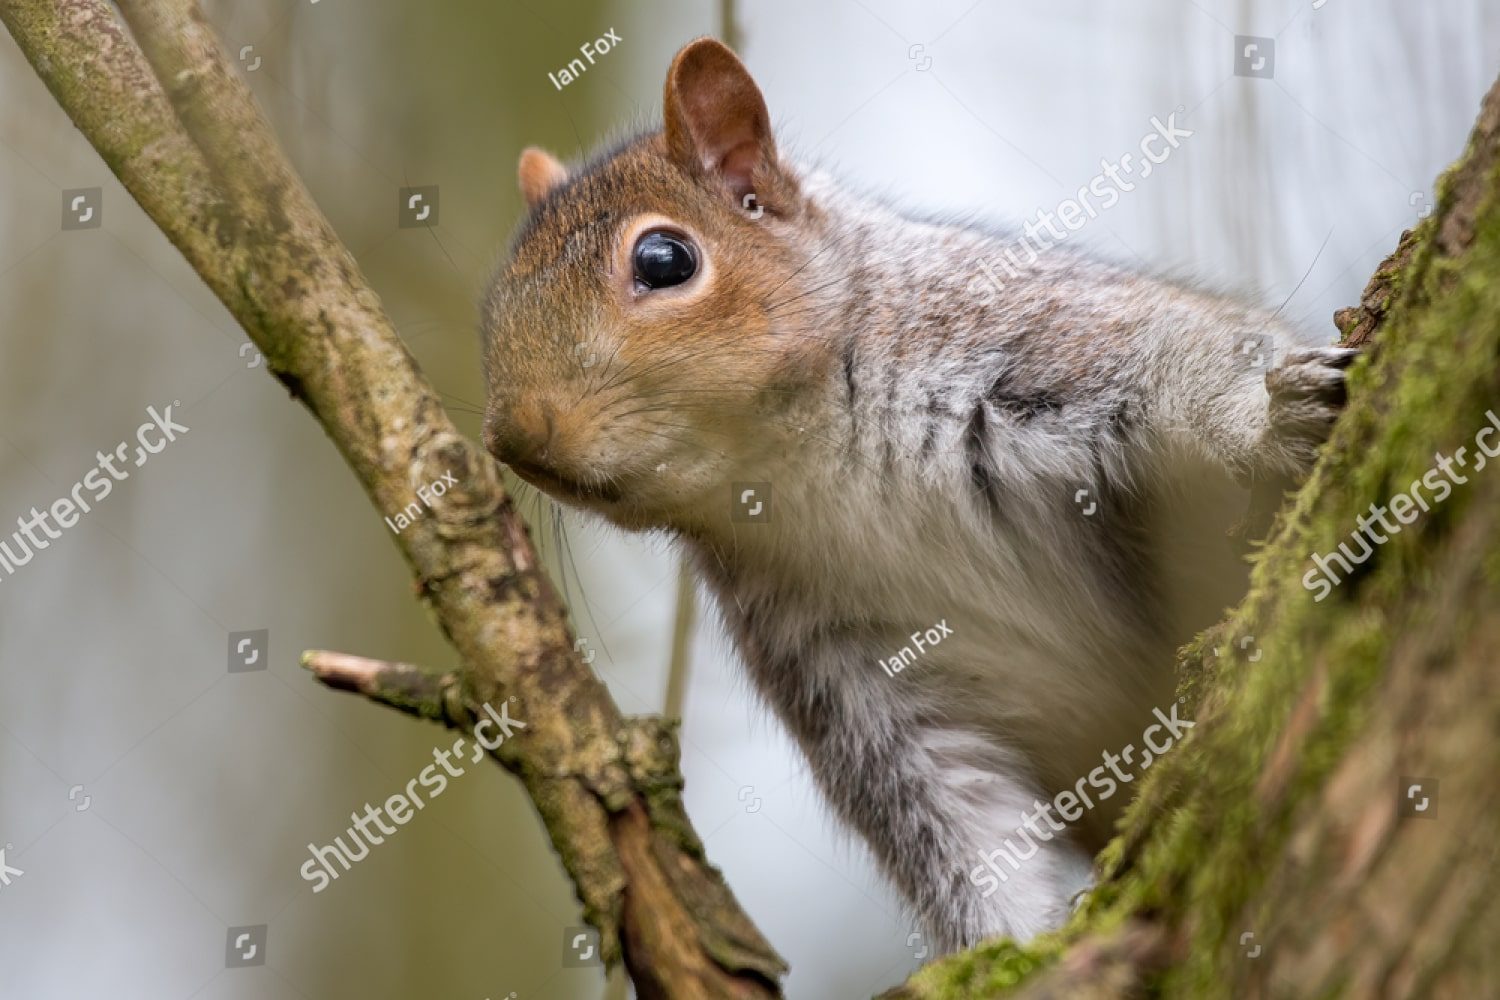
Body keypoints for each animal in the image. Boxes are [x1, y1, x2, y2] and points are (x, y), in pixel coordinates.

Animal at [480, 37, 1353, 954]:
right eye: (495, 297)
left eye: (664, 260)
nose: (513, 437)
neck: (810, 468)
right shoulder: (845, 661)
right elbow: (949, 818)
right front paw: (1009, 950)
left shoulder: (1056, 342)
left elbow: (1190, 362)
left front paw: (1267, 419)